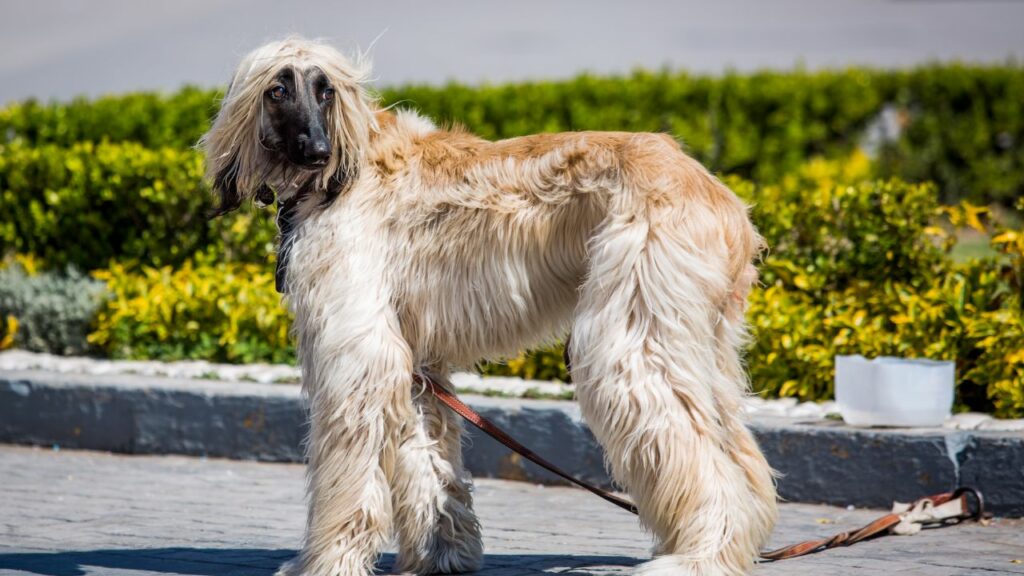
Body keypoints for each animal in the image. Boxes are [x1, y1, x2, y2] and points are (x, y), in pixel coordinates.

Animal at [199, 38, 774, 569]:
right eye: (277, 90)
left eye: (326, 91)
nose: (318, 152)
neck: (346, 168)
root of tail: (721, 199)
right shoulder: (414, 358)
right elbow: (428, 460)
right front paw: (441, 553)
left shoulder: (361, 352)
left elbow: (354, 469)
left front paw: (326, 561)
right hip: (701, 337)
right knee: (735, 449)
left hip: (631, 334)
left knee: (696, 449)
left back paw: (700, 556)